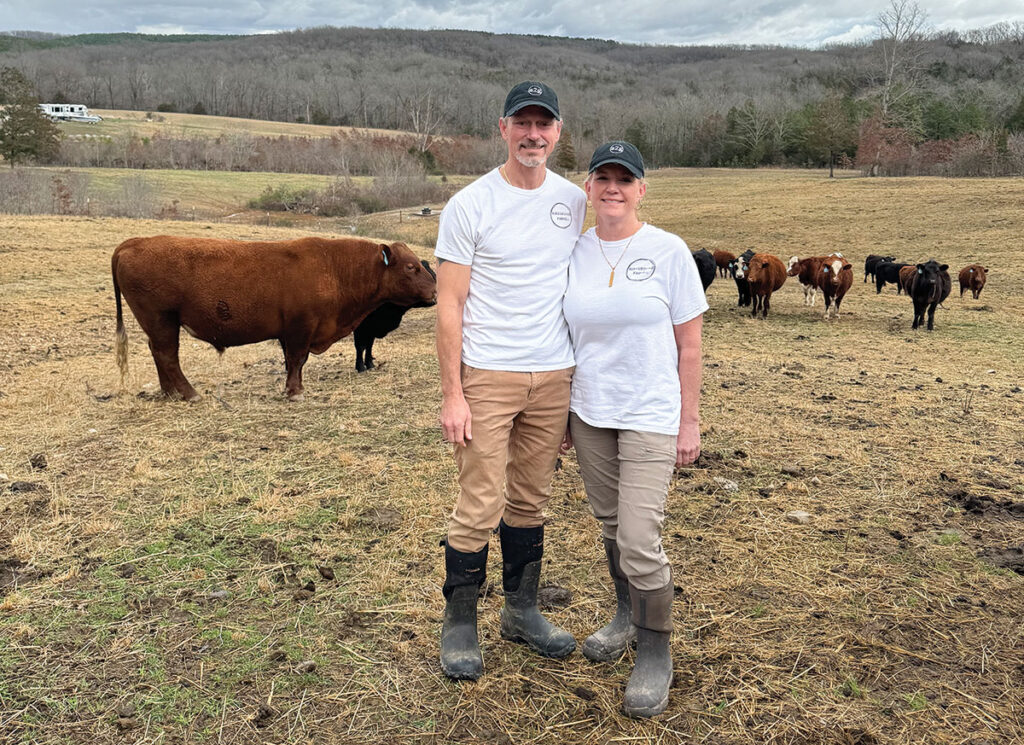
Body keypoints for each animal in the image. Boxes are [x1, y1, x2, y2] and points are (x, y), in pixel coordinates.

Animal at [114, 237, 438, 401]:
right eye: (411, 267)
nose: (436, 292)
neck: (333, 266)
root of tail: (132, 242)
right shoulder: (300, 328)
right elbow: (297, 360)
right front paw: (295, 392)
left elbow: (292, 361)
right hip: (162, 320)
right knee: (167, 355)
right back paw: (189, 393)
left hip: (158, 324)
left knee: (159, 353)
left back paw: (169, 393)